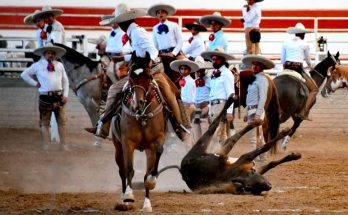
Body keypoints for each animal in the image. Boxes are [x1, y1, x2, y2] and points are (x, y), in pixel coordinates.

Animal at [111, 51, 166, 212]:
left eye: (149, 76)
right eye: (130, 76)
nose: (138, 103)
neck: (142, 116)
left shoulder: (156, 141)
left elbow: (151, 168)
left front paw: (151, 183)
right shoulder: (127, 143)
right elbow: (129, 170)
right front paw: (128, 196)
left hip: (147, 150)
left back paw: (146, 203)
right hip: (118, 147)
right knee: (122, 171)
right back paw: (124, 201)